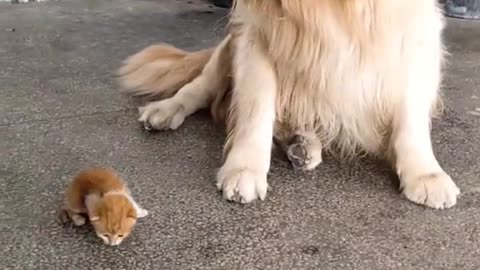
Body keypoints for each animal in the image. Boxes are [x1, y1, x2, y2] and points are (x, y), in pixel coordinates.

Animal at [117, 0, 462, 209]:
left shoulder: (415, 36)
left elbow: (411, 121)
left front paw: (425, 174)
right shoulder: (257, 34)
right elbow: (256, 112)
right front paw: (244, 168)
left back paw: (303, 144)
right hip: (228, 47)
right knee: (198, 88)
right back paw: (164, 111)